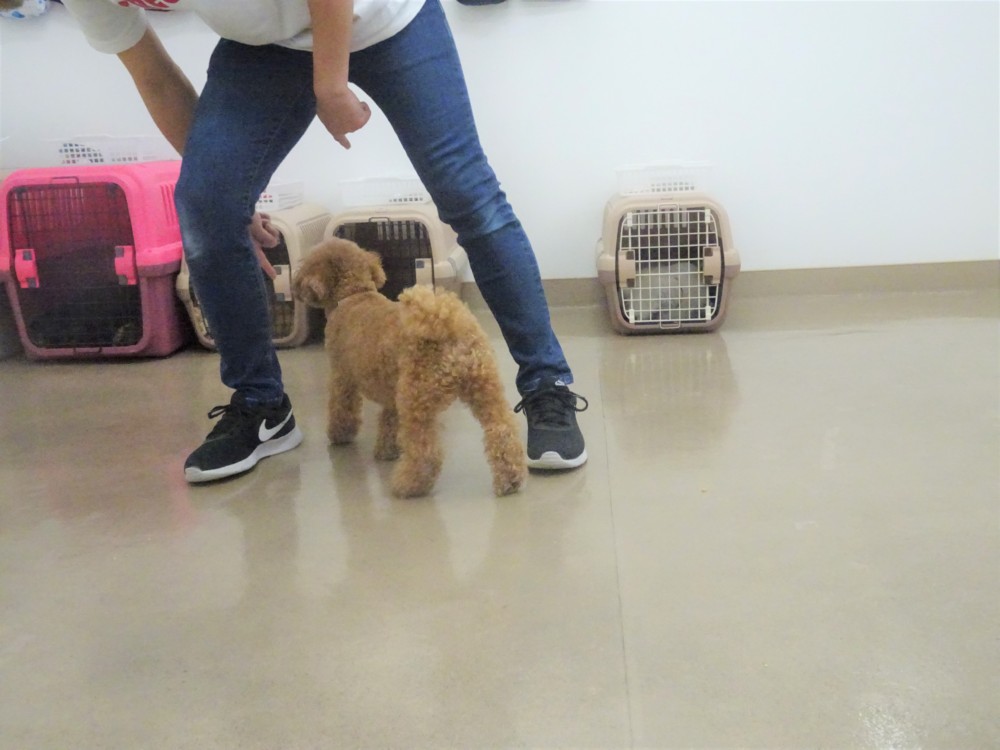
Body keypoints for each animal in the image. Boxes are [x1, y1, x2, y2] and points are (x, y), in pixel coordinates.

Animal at [291, 238, 527, 498]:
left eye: (307, 263)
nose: (295, 285)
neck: (354, 295)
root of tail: (447, 324)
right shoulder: (391, 391)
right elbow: (388, 420)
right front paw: (386, 450)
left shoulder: (342, 378)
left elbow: (342, 409)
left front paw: (339, 435)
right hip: (484, 387)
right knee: (502, 429)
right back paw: (510, 479)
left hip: (416, 399)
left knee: (426, 453)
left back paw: (408, 484)